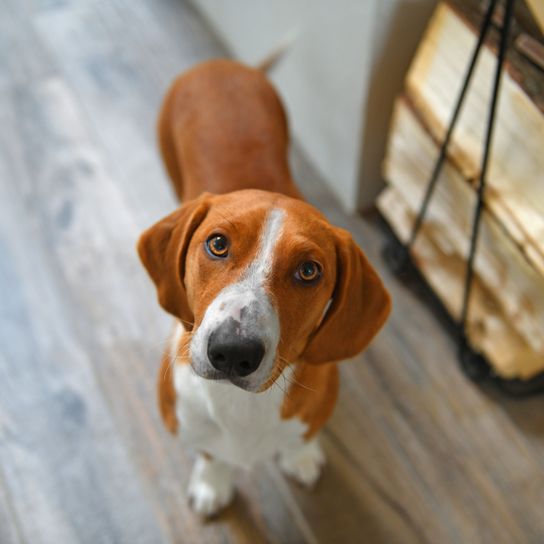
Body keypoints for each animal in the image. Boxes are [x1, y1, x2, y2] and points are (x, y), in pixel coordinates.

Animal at [137, 60, 392, 520]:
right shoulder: (186, 424)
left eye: (309, 270)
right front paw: (212, 482)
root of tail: (225, 64)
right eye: (218, 244)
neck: (242, 408)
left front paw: (300, 458)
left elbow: (302, 437)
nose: (232, 351)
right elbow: (210, 453)